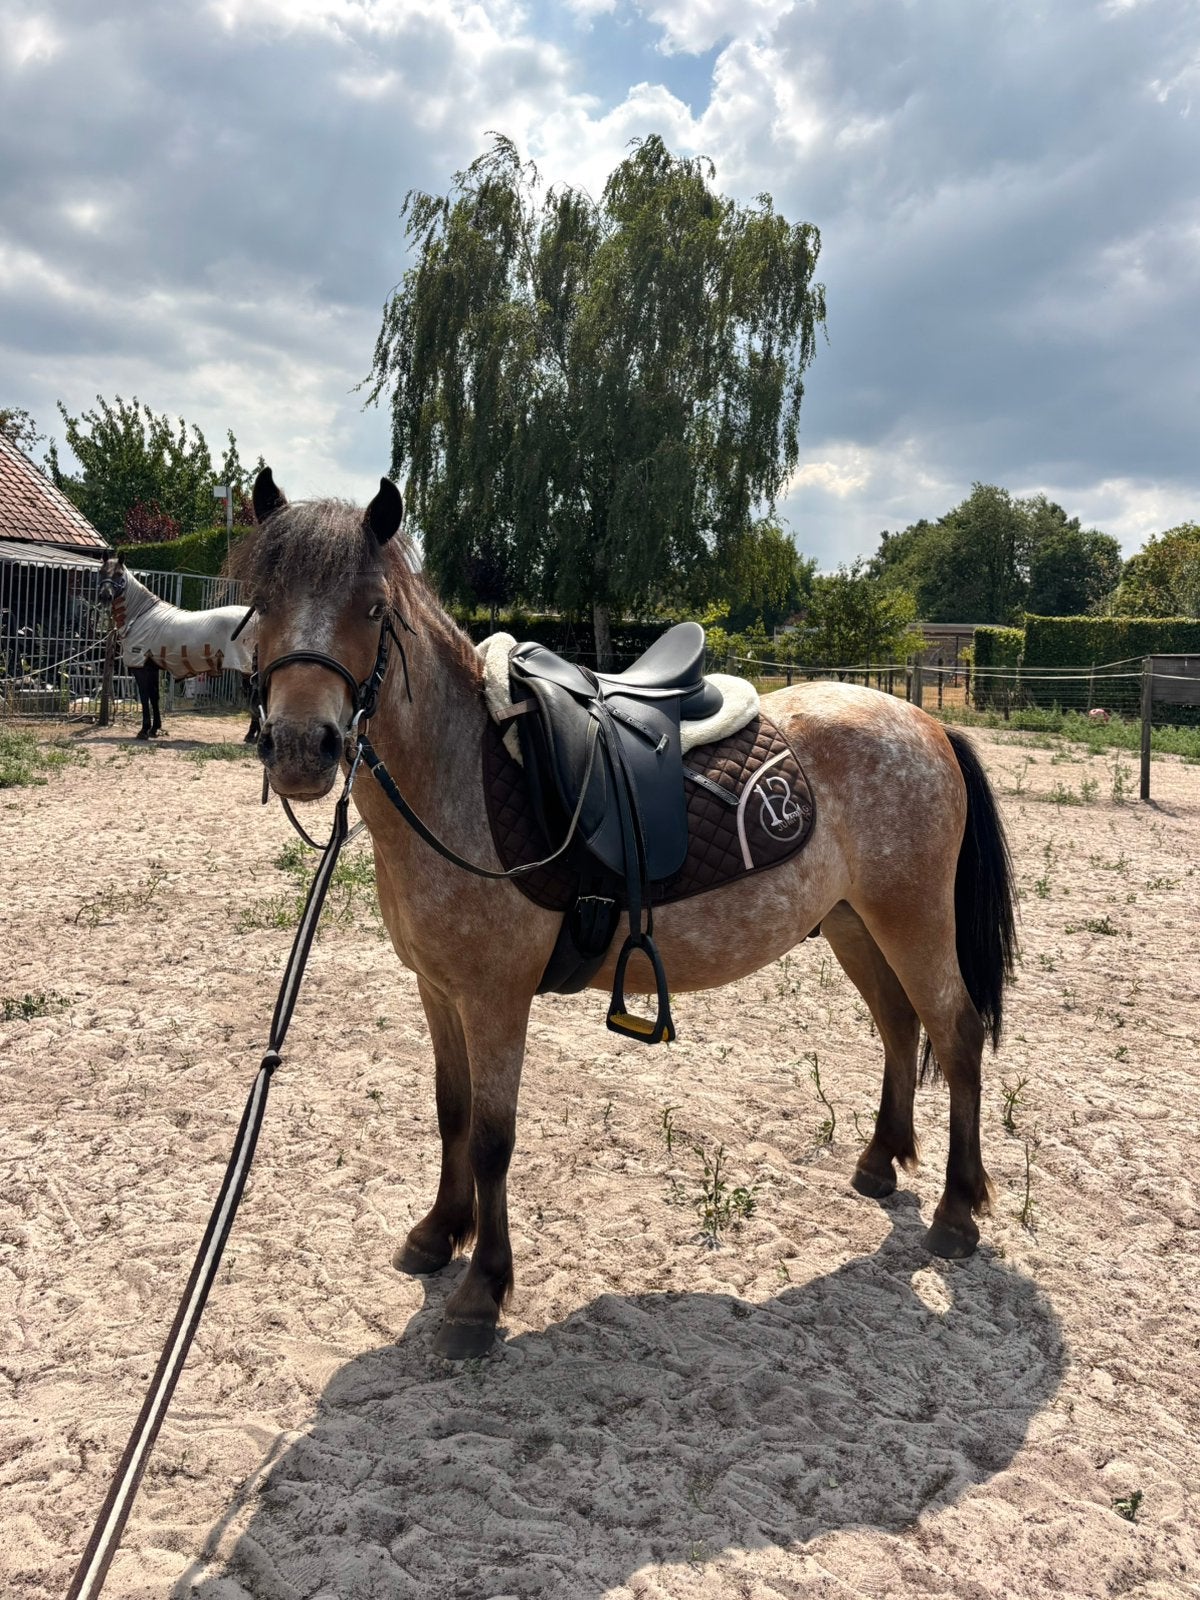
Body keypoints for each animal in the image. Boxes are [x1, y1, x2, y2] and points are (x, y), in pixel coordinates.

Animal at [96, 556, 260, 742]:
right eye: (101, 571)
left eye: (119, 574)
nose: (105, 596)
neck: (140, 615)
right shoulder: (152, 666)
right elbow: (154, 696)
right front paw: (155, 729)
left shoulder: (141, 666)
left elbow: (145, 697)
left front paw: (143, 731)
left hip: (246, 667)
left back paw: (251, 735)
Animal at [236, 469, 1017, 1360]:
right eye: (261, 601)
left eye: (372, 608)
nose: (303, 749)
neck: (457, 777)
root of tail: (927, 722)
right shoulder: (438, 991)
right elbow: (452, 1113)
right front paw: (438, 1233)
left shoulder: (495, 1000)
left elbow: (494, 1138)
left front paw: (480, 1294)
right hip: (856, 922)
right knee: (898, 1025)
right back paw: (881, 1163)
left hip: (913, 920)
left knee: (955, 1033)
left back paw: (957, 1213)